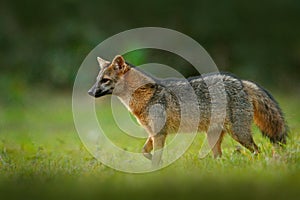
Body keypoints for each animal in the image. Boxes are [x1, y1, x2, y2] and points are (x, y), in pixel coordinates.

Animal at [88, 55, 288, 167]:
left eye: (105, 80)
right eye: (98, 80)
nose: (90, 92)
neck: (143, 96)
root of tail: (240, 81)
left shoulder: (159, 134)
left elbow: (155, 157)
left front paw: (155, 170)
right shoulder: (153, 133)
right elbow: (144, 151)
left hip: (239, 134)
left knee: (258, 150)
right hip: (215, 139)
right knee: (220, 158)